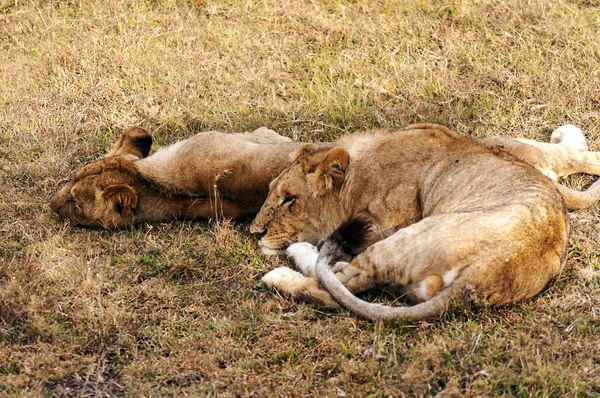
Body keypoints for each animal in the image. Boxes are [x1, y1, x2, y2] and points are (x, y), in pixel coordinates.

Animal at [250, 123, 600, 322]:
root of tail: (482, 275)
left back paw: (285, 269)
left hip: (406, 238)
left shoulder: (381, 221)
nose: (255, 232)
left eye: (288, 199)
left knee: (332, 286)